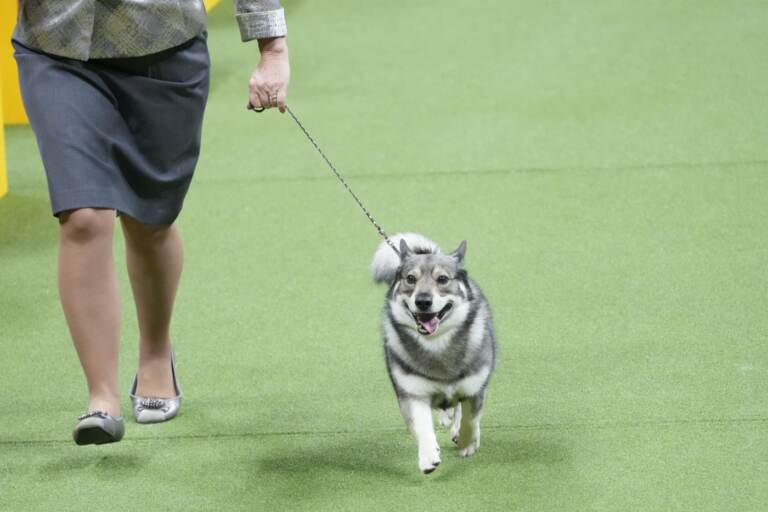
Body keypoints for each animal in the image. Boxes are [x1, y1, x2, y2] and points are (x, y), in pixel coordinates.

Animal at [372, 234, 498, 474]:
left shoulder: (474, 388)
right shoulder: (412, 394)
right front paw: (428, 457)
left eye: (442, 279)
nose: (422, 301)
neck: (436, 345)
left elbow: (470, 419)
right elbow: (422, 427)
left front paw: (467, 442)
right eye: (410, 278)